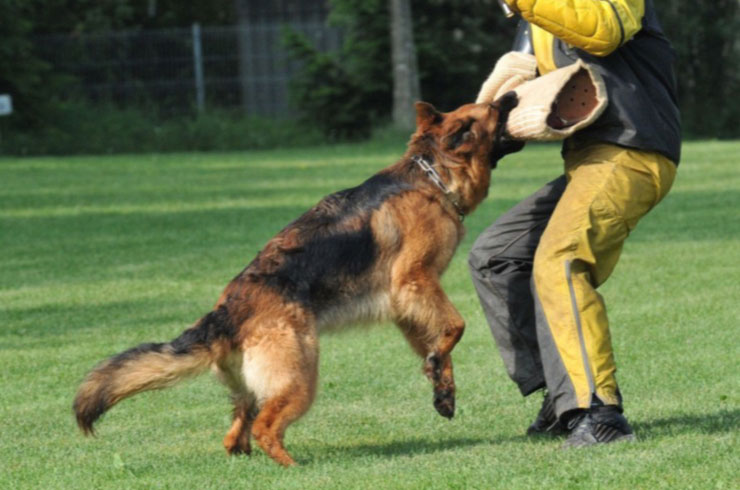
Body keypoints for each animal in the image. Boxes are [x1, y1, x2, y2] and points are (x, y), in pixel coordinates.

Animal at [71, 93, 520, 468]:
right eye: (491, 108)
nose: (514, 93)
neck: (433, 175)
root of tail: (226, 314)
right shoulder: (415, 281)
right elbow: (456, 326)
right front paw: (439, 363)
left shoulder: (407, 304)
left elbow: (437, 346)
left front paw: (441, 385)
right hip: (300, 377)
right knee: (265, 427)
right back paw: (292, 467)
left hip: (256, 387)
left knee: (236, 431)